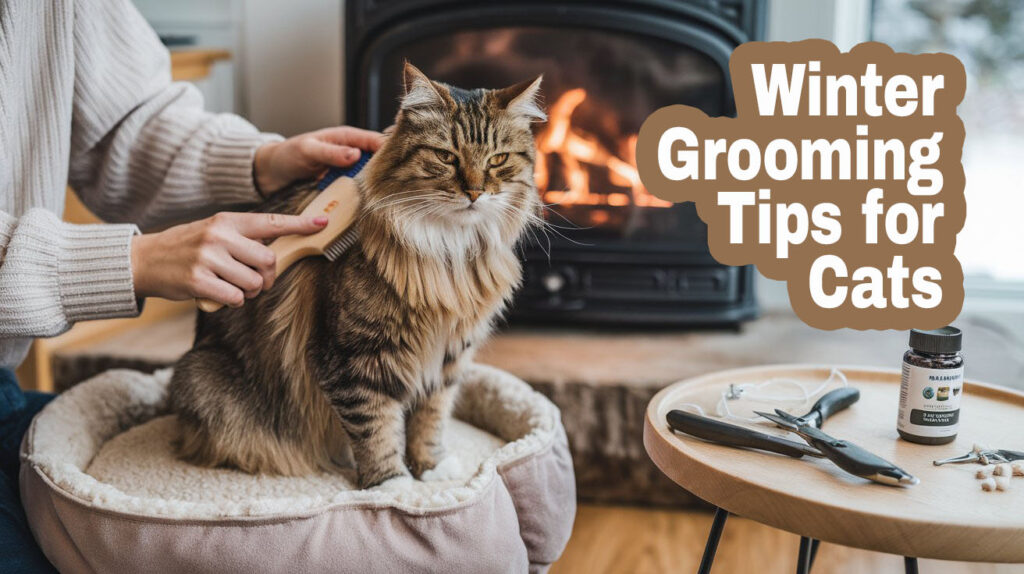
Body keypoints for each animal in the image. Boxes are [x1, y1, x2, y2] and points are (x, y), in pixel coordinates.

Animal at [172, 63, 548, 487]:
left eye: (498, 160)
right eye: (446, 157)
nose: (474, 192)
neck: (451, 252)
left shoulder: (448, 356)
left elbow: (430, 418)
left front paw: (432, 469)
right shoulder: (355, 360)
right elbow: (376, 429)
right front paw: (395, 487)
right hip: (205, 381)